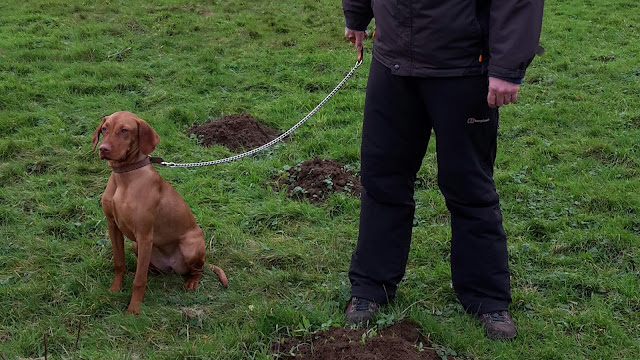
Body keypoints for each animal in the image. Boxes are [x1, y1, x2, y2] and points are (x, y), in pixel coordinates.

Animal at [91, 112, 228, 316]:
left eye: (125, 130)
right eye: (105, 128)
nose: (103, 149)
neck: (124, 178)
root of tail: (172, 266)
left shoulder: (144, 234)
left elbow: (139, 282)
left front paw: (133, 310)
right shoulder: (112, 226)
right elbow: (119, 263)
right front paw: (114, 289)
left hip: (190, 246)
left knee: (198, 270)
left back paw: (192, 281)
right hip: (137, 246)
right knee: (147, 268)